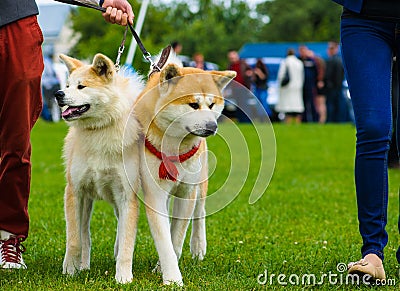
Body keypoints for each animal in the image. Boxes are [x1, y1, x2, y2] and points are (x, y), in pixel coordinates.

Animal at [55, 53, 144, 284]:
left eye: (81, 86)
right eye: (67, 85)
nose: (58, 94)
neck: (99, 130)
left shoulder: (126, 197)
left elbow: (127, 244)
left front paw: (123, 277)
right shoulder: (75, 192)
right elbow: (75, 240)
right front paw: (70, 270)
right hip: (86, 201)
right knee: (85, 235)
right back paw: (84, 266)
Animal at [133, 52, 236, 286]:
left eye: (212, 104)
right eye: (193, 105)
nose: (212, 127)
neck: (174, 146)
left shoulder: (187, 191)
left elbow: (177, 237)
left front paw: (166, 269)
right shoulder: (155, 193)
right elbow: (164, 239)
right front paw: (171, 276)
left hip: (200, 181)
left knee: (200, 211)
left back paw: (198, 246)